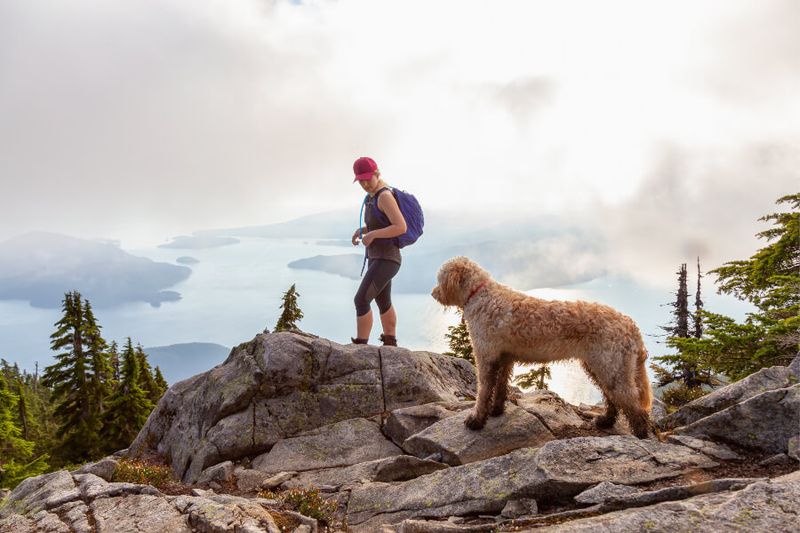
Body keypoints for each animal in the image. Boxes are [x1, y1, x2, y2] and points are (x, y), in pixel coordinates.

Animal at [434, 256, 652, 436]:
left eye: (439, 278)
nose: (433, 293)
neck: (481, 295)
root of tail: (630, 325)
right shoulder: (504, 358)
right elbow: (501, 387)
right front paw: (497, 410)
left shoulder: (486, 356)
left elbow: (484, 391)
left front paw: (476, 420)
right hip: (600, 366)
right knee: (612, 398)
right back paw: (606, 421)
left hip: (612, 367)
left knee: (633, 405)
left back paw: (640, 434)